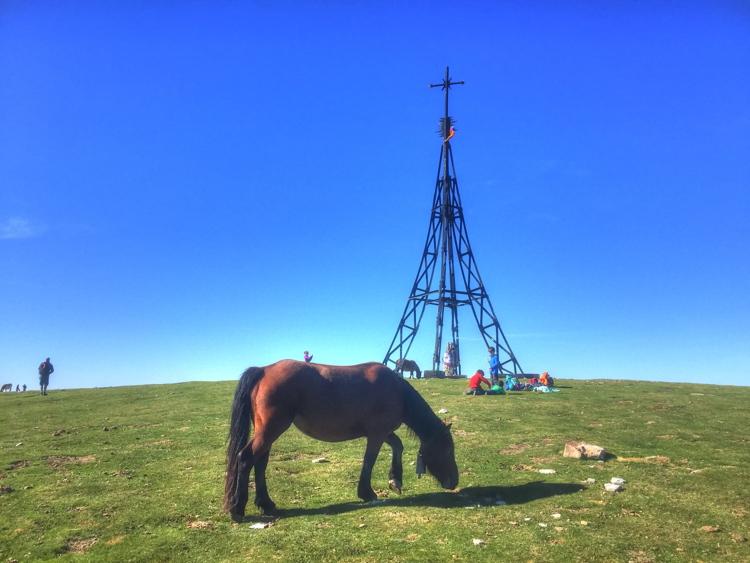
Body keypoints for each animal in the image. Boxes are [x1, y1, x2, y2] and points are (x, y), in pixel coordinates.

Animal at [223, 362, 458, 520]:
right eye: (448, 451)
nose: (454, 482)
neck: (398, 391)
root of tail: (264, 369)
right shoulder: (376, 434)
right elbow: (369, 460)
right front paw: (367, 492)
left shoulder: (382, 432)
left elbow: (397, 445)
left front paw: (395, 480)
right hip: (270, 430)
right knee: (246, 458)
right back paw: (238, 509)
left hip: (267, 432)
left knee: (260, 463)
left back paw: (266, 504)